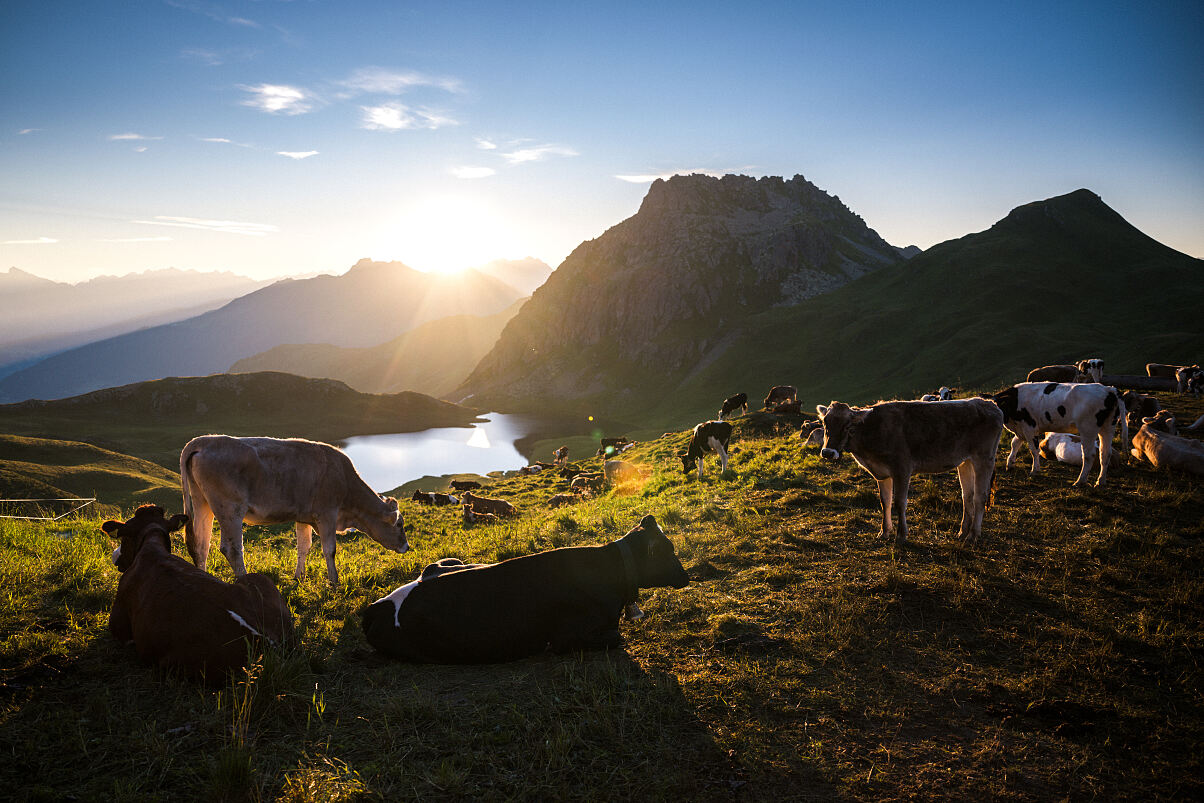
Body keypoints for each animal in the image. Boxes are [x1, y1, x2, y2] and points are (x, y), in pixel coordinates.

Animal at [175, 435, 406, 587]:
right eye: (399, 524)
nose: (407, 546)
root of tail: (203, 441)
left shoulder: (304, 517)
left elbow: (304, 546)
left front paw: (299, 577)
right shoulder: (327, 514)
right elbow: (329, 549)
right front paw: (334, 582)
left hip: (203, 503)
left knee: (201, 544)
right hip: (230, 509)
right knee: (232, 549)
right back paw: (246, 583)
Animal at [813, 397, 1001, 544]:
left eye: (847, 425)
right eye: (825, 423)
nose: (828, 452)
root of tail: (988, 403)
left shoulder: (902, 468)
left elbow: (899, 502)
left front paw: (901, 535)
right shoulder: (882, 474)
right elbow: (885, 501)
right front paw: (884, 532)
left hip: (984, 457)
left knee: (980, 496)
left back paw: (973, 535)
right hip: (965, 462)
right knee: (967, 496)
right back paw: (962, 532)